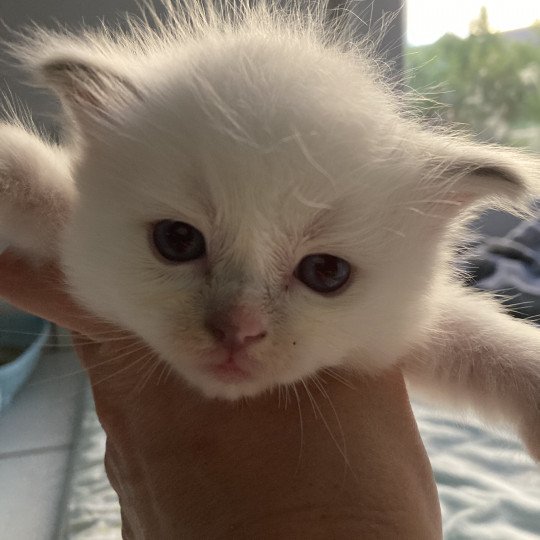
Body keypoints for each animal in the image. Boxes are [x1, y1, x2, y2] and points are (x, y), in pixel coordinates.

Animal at [1, 2, 540, 458]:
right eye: (178, 241)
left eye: (326, 272)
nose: (237, 331)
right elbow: (39, 187)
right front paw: (10, 167)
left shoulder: (400, 330)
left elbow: (476, 336)